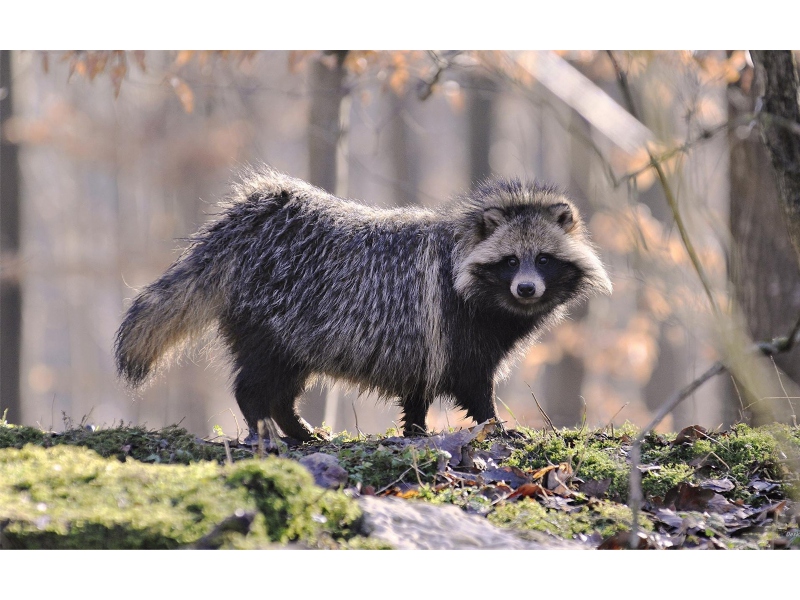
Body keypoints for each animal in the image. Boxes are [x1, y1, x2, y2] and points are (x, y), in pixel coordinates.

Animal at [114, 166, 612, 442]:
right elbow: (474, 385)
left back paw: (294, 427)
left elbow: (418, 390)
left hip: (296, 335)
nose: (526, 290)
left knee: (283, 387)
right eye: (511, 261)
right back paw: (266, 425)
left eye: (543, 259)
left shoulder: (424, 339)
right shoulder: (454, 327)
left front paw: (415, 430)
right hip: (273, 320)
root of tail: (250, 222)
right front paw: (495, 425)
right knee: (255, 383)